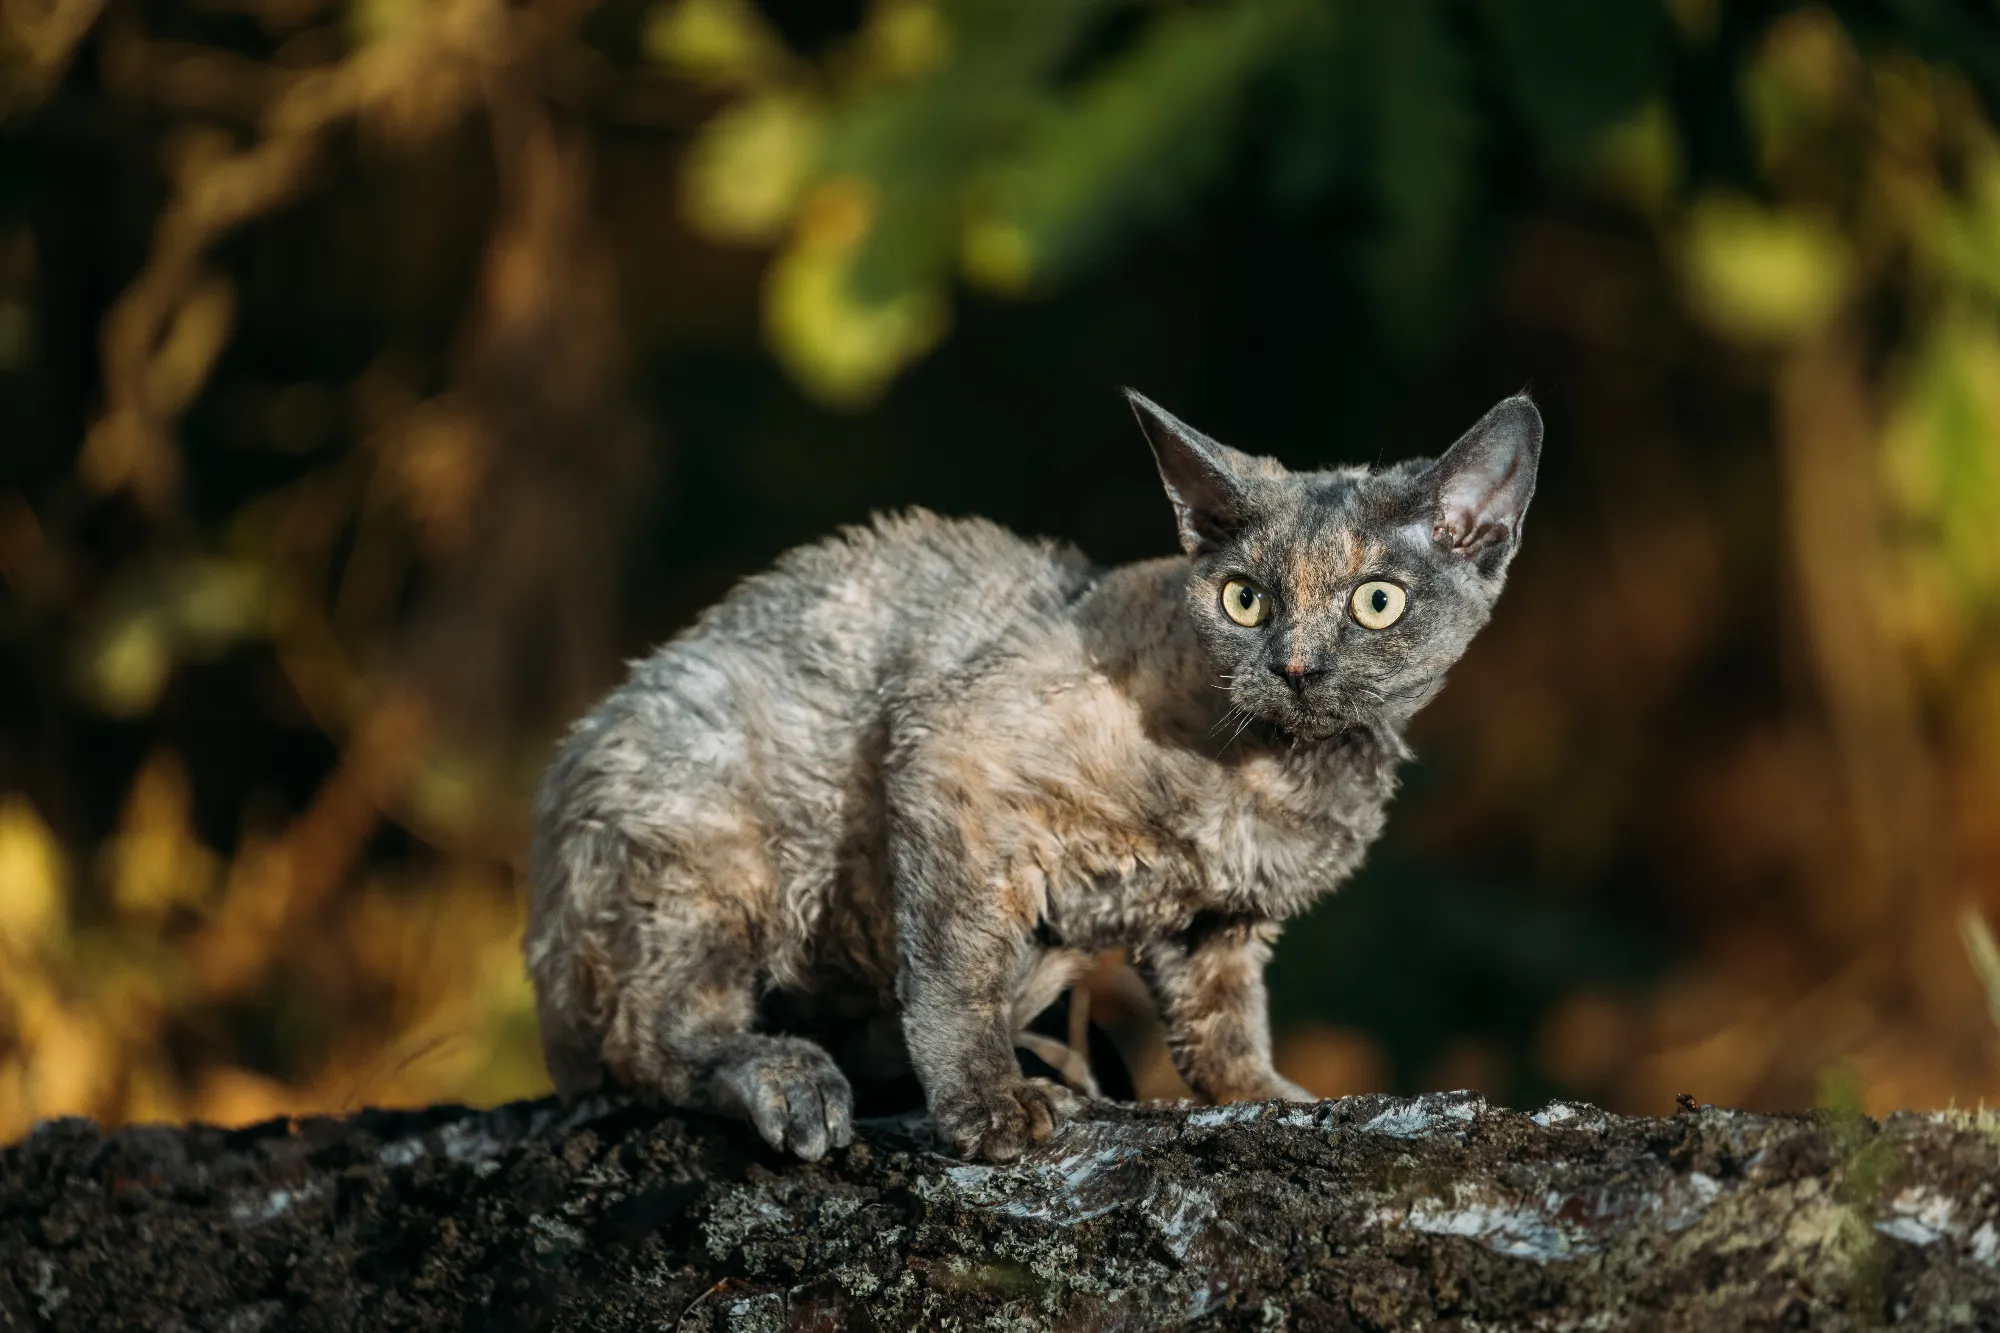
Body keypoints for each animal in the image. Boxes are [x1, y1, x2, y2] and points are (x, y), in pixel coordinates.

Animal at [524, 390, 1536, 1160]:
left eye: (1377, 602)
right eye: (1244, 600)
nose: (1295, 666)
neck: (1285, 769)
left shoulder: (1216, 917)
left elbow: (1220, 1024)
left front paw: (1267, 1095)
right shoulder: (953, 756)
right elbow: (956, 970)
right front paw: (985, 1104)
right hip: (713, 827)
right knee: (652, 1039)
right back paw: (794, 1077)